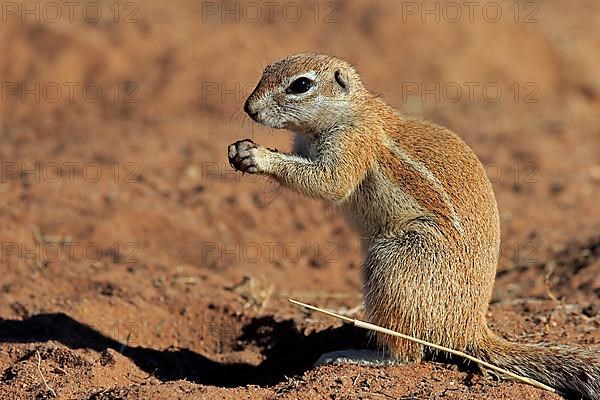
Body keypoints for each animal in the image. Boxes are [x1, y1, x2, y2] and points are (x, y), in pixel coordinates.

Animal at [227, 54, 596, 400]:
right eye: (266, 70)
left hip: (394, 262)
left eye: (300, 85)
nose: (248, 108)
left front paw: (257, 156)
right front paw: (239, 150)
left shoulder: (352, 144)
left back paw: (352, 355)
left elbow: (329, 183)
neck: (350, 110)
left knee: (408, 355)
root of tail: (470, 328)